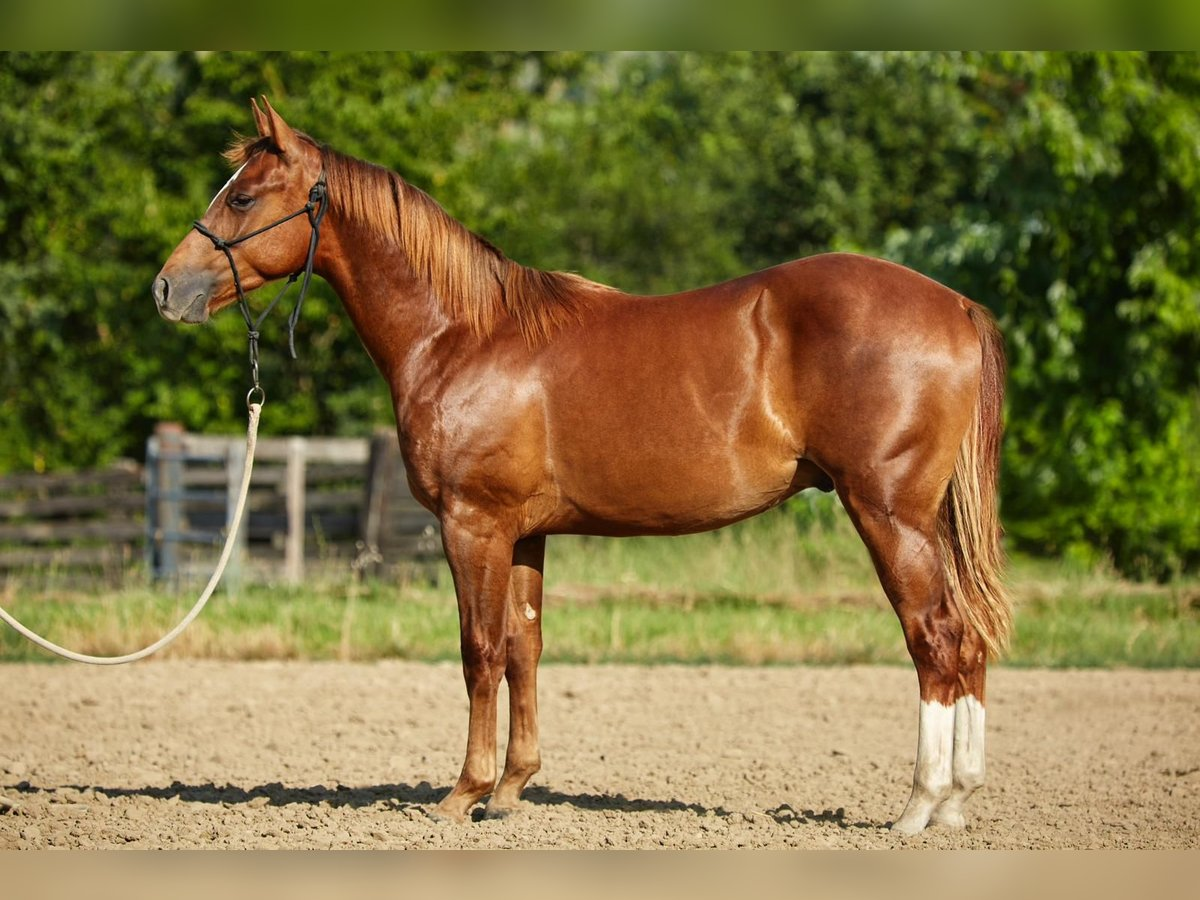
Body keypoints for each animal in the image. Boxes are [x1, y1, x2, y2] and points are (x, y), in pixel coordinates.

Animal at [153, 97, 1010, 834]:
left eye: (241, 198)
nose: (166, 288)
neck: (463, 334)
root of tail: (954, 305)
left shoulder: (473, 525)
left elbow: (478, 651)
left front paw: (461, 794)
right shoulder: (525, 534)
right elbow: (524, 649)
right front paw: (510, 790)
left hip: (887, 514)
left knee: (936, 638)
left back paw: (919, 805)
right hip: (924, 520)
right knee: (968, 641)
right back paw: (959, 801)